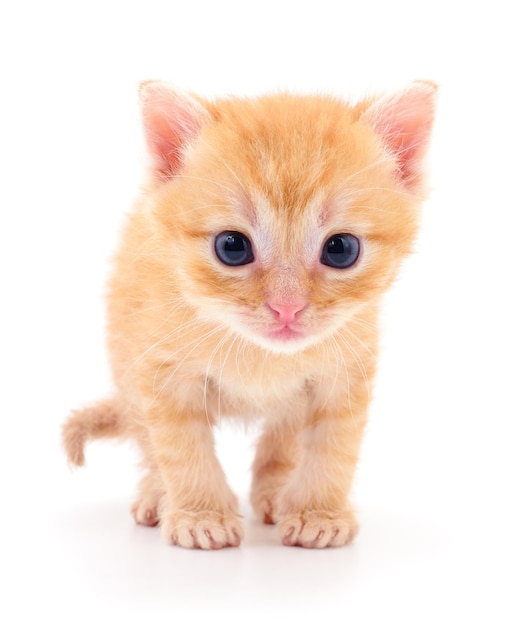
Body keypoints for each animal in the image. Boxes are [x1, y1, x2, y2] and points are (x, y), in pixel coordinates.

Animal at [60, 80, 436, 548]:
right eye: (232, 246)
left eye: (341, 249)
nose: (287, 307)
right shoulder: (159, 370)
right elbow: (180, 447)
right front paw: (201, 514)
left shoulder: (346, 369)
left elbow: (334, 444)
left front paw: (319, 512)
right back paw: (156, 493)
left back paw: (278, 492)